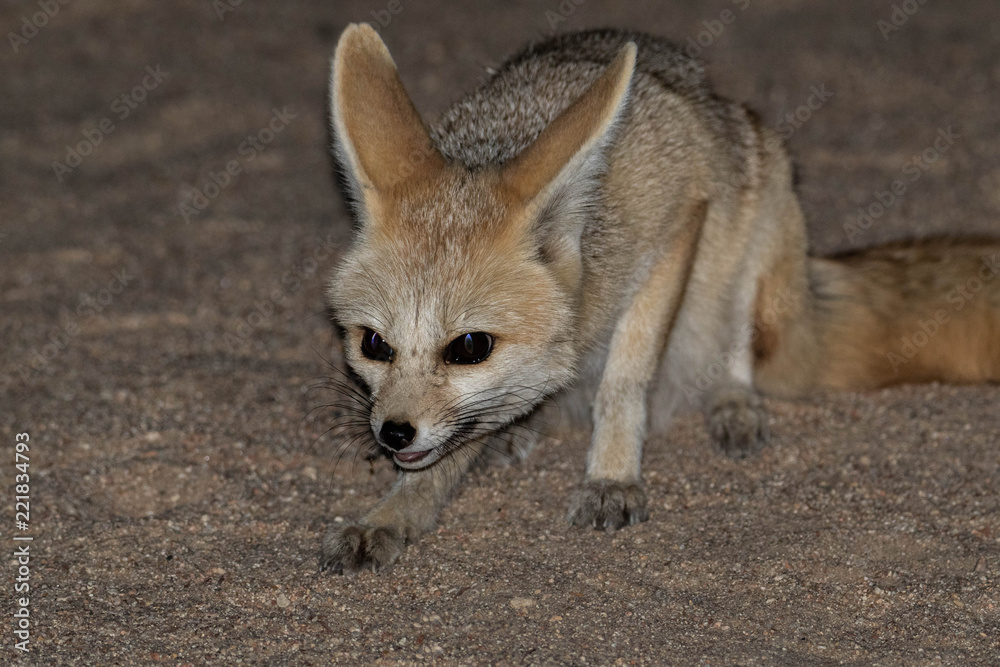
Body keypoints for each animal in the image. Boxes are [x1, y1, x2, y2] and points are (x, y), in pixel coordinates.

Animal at [320, 24, 1000, 573]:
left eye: (469, 347)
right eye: (373, 344)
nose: (392, 434)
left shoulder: (680, 226)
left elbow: (626, 380)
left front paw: (612, 475)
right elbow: (446, 456)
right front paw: (393, 515)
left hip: (750, 244)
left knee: (732, 348)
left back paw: (731, 401)